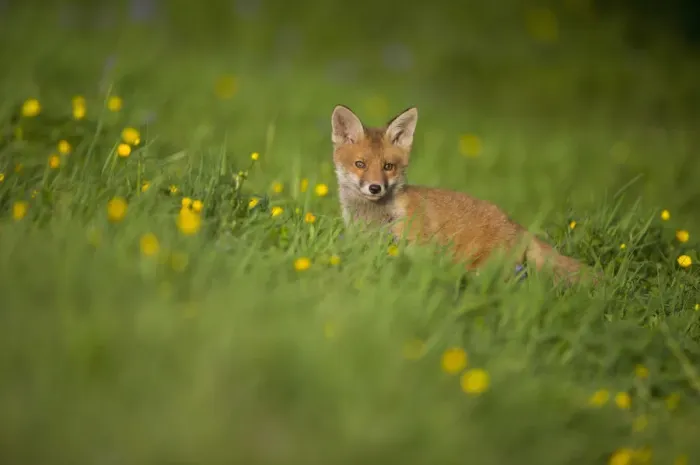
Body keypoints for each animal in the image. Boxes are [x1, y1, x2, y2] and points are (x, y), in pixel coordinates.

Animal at [331, 104, 601, 285]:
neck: (373, 218)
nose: (375, 188)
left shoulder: (416, 247)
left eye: (388, 166)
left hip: (481, 270)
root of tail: (517, 226)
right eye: (360, 164)